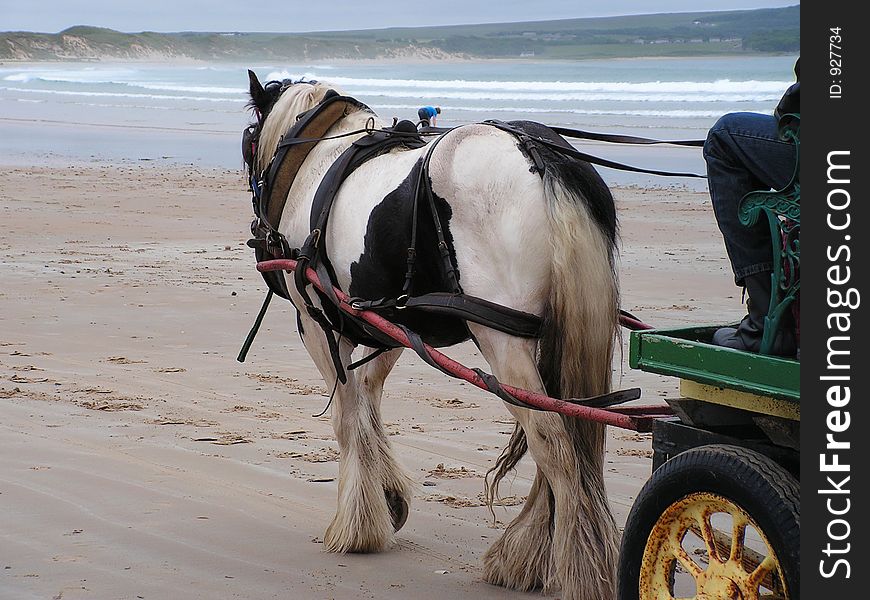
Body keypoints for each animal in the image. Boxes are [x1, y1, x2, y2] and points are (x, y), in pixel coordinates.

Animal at [245, 71, 624, 600]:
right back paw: (528, 555)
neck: (319, 155)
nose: (257, 231)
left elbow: (347, 415)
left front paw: (358, 525)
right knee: (568, 427)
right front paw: (388, 496)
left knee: (553, 439)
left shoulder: (317, 322)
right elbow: (368, 395)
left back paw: (578, 571)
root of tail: (539, 152)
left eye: (249, 142)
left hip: (501, 338)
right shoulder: (392, 321)